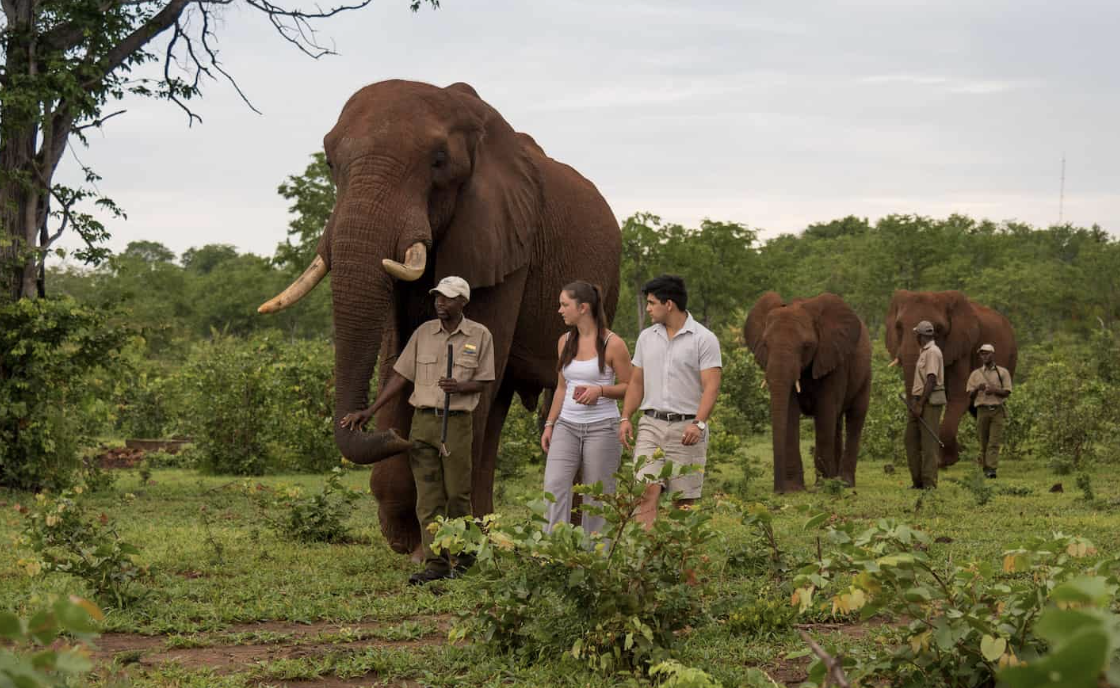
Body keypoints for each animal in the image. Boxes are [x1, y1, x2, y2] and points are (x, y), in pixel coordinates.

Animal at [258, 80, 621, 556]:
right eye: (330, 162)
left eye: (439, 162)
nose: (368, 427)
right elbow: (399, 354)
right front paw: (412, 540)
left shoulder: (504, 240)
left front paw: (440, 544)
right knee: (498, 404)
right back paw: (487, 533)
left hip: (607, 291)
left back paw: (569, 541)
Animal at [744, 292, 871, 492]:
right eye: (765, 344)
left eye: (806, 346)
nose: (778, 491)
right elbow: (790, 412)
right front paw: (794, 488)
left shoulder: (833, 359)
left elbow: (825, 411)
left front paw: (822, 487)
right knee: (837, 422)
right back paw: (835, 479)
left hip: (865, 373)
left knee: (855, 417)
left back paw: (844, 483)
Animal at [884, 290, 1018, 468]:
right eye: (898, 327)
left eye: (938, 329)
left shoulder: (962, 348)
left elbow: (959, 396)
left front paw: (946, 461)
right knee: (977, 411)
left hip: (1010, 357)